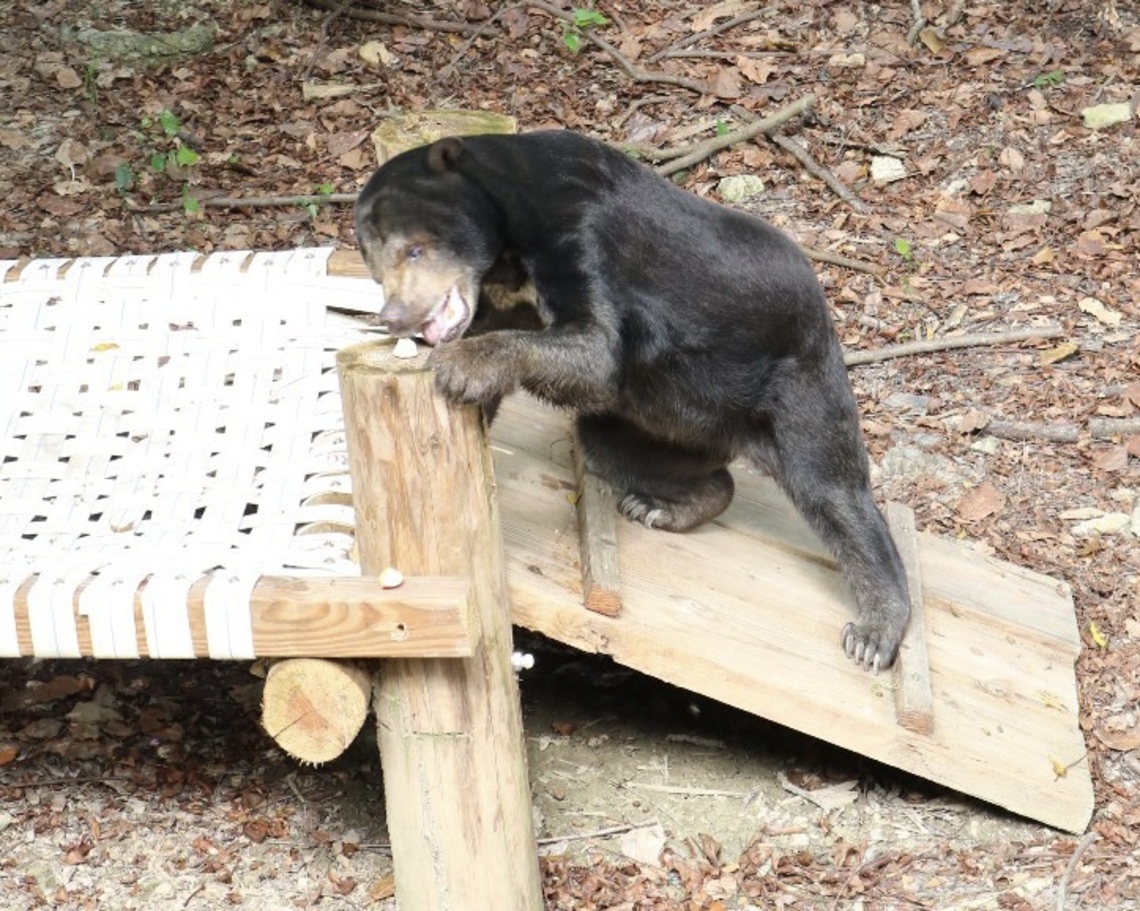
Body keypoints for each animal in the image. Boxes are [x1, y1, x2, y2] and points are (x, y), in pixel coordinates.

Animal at [354, 130, 910, 672]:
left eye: (414, 250)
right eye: (374, 262)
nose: (394, 316)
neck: (507, 249)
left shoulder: (580, 231)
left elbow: (597, 348)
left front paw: (460, 365)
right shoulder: (502, 297)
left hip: (798, 379)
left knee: (832, 490)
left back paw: (875, 630)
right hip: (659, 417)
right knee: (611, 443)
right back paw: (667, 505)